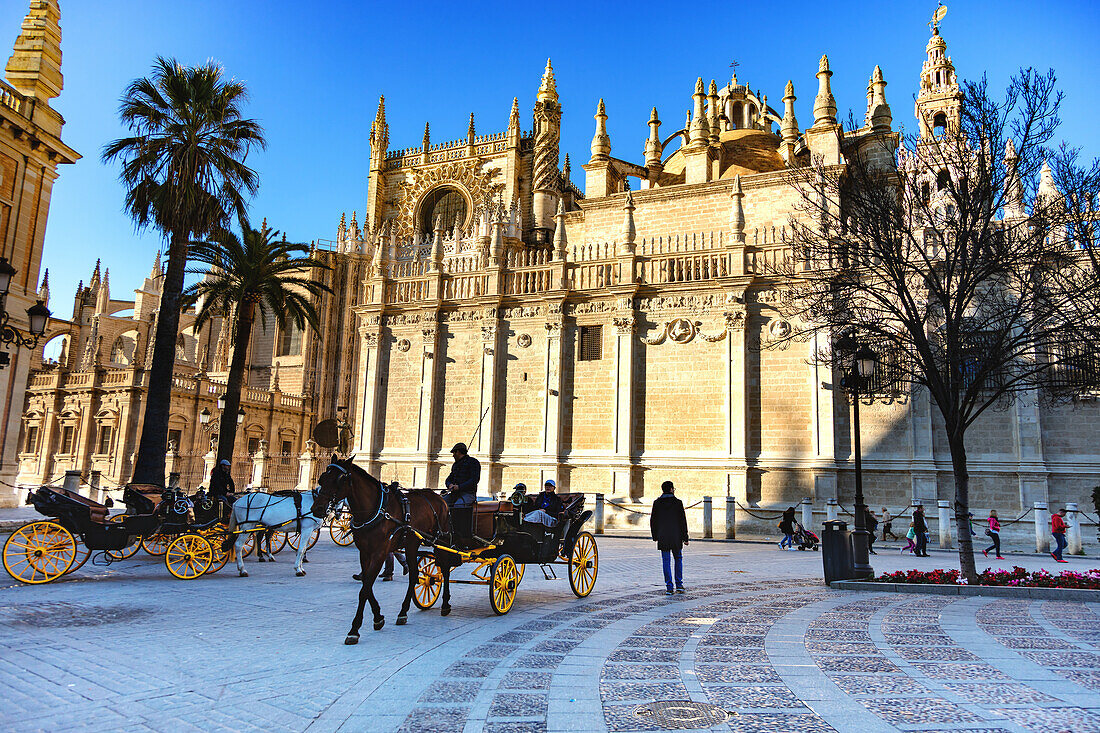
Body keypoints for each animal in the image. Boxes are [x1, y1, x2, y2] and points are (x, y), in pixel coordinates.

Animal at [312, 453, 448, 642]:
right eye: (322, 478)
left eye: (340, 480)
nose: (316, 508)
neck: (374, 510)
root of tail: (440, 497)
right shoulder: (364, 553)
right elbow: (366, 585)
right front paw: (378, 617)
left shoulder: (380, 552)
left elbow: (364, 590)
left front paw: (354, 629)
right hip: (412, 544)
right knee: (414, 574)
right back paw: (403, 611)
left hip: (441, 541)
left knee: (445, 570)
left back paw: (445, 604)